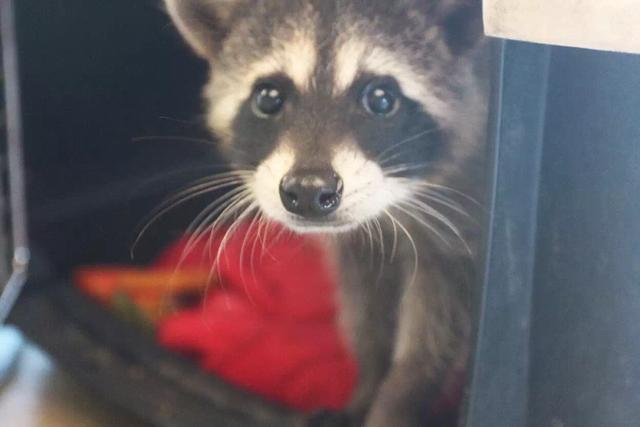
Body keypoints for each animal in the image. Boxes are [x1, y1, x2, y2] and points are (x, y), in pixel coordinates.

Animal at [164, 1, 484, 426]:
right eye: (268, 97)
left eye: (381, 99)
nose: (308, 191)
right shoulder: (357, 242)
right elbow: (364, 299)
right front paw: (369, 381)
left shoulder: (463, 210)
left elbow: (438, 325)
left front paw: (404, 393)